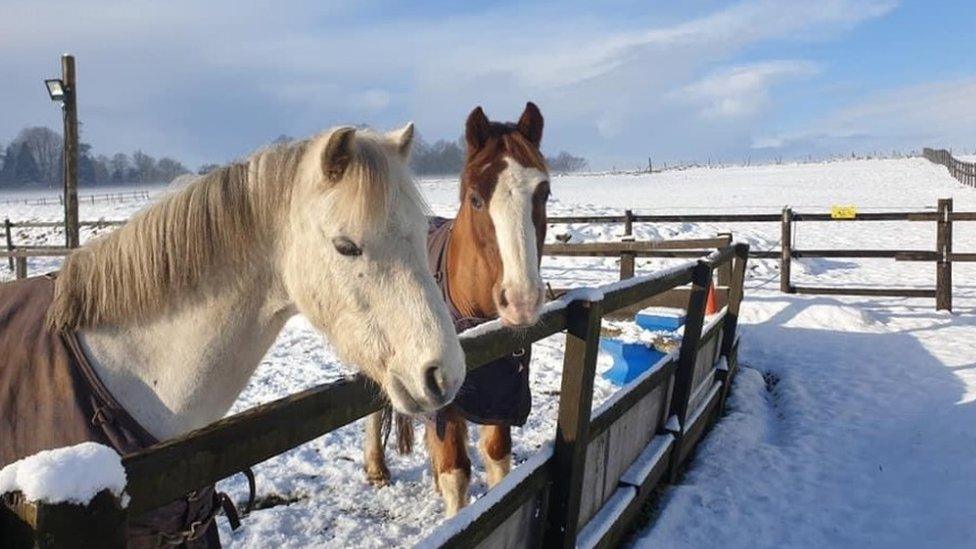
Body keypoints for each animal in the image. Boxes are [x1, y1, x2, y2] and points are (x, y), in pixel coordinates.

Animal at [364, 101, 552, 512]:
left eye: (544, 193)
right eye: (476, 199)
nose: (522, 299)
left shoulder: (500, 396)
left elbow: (496, 456)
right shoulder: (444, 402)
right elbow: (456, 473)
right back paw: (376, 469)